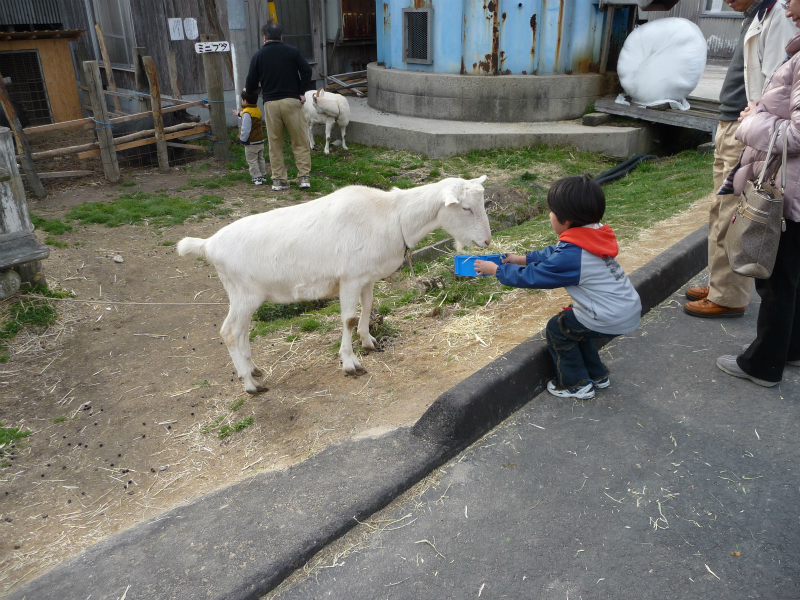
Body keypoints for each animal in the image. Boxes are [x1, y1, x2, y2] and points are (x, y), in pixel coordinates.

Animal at [177, 176, 490, 394]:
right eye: (465, 208)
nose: (486, 241)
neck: (393, 215)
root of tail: (207, 245)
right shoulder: (349, 278)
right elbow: (349, 319)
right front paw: (351, 364)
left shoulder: (366, 277)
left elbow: (367, 308)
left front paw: (369, 343)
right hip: (244, 293)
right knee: (229, 332)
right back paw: (251, 386)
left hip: (246, 297)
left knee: (241, 332)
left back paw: (253, 370)